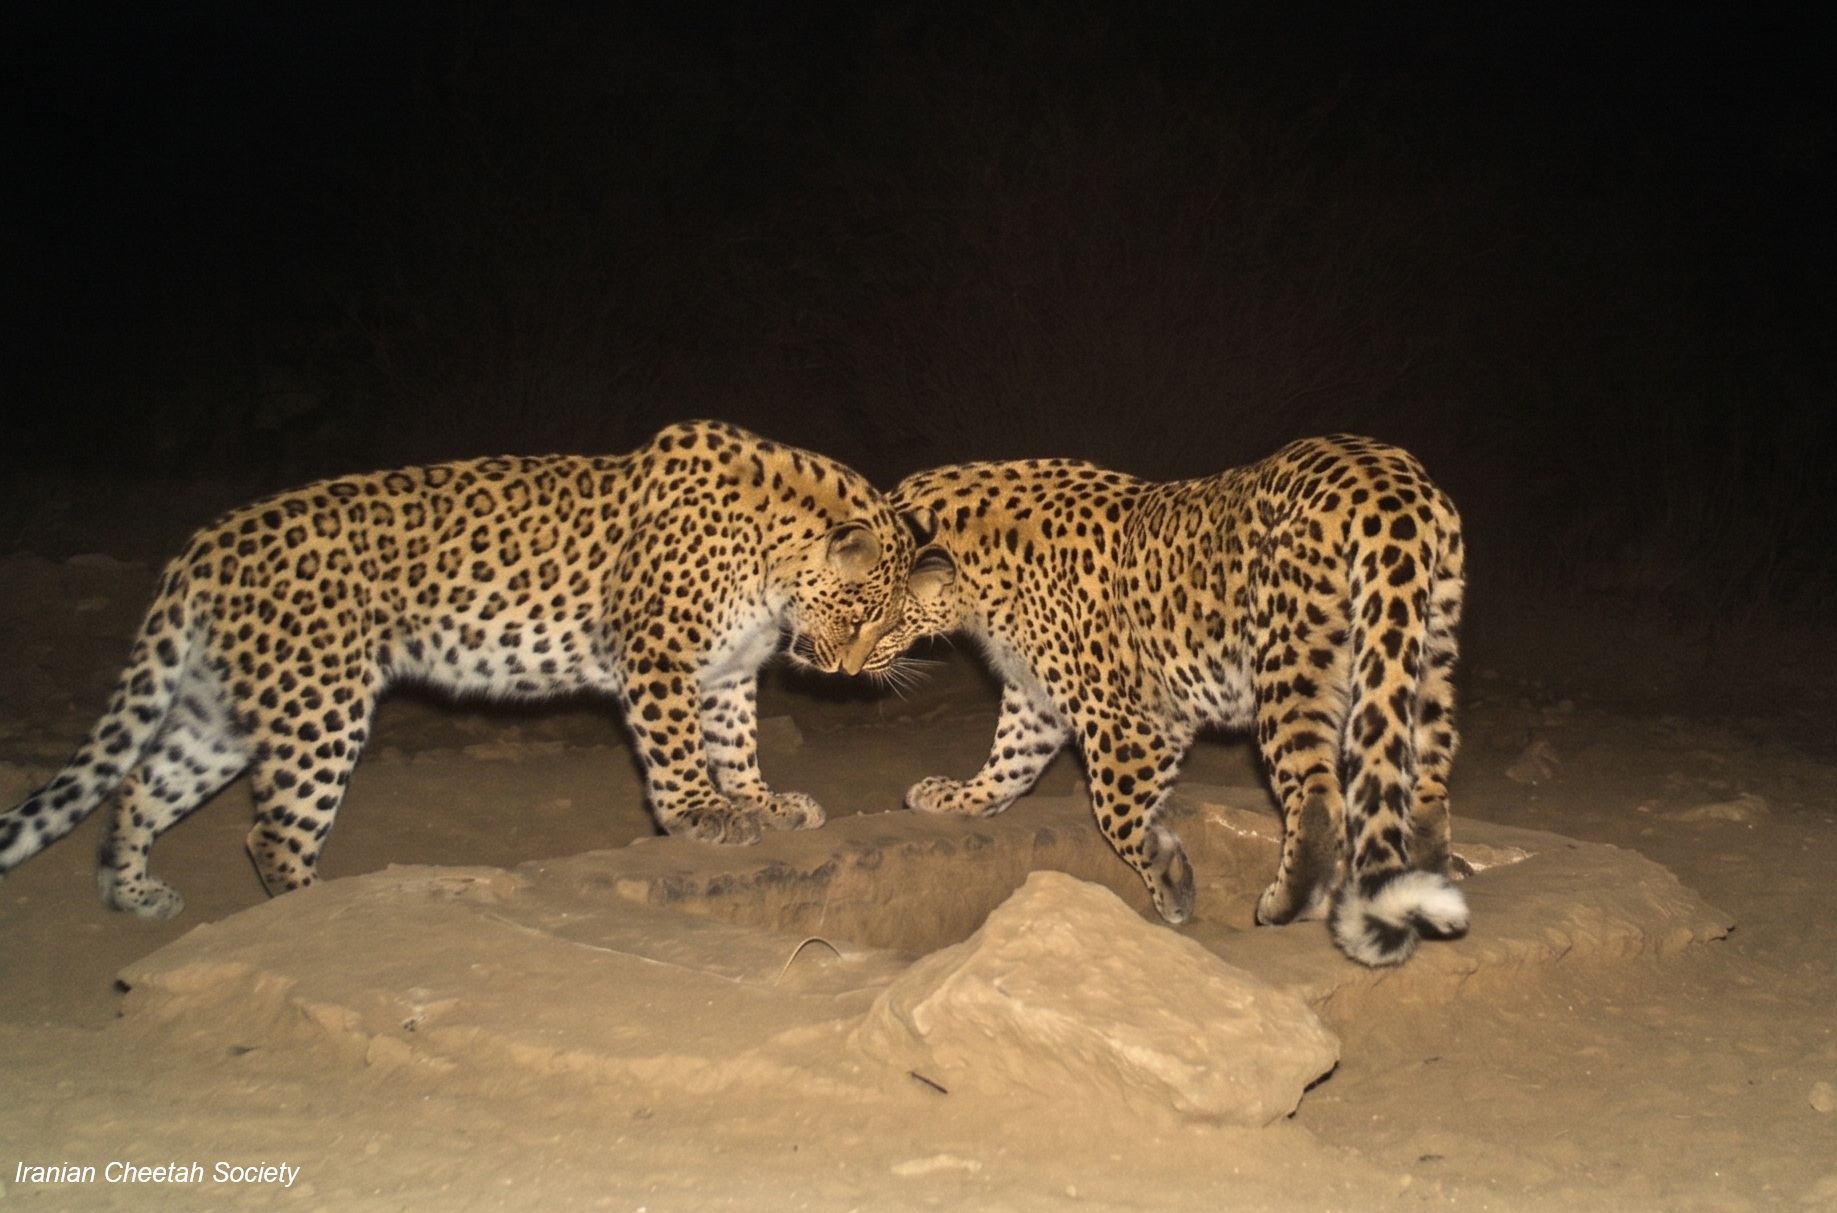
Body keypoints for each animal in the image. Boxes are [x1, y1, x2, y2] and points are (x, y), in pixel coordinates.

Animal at [0, 420, 929, 920]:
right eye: (862, 617)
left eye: (887, 627)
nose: (847, 667)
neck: (773, 555)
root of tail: (204, 541)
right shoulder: (657, 653)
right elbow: (677, 750)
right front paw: (701, 816)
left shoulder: (728, 673)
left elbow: (736, 746)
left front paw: (760, 803)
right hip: (320, 702)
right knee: (270, 829)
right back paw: (316, 905)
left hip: (221, 712)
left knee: (138, 785)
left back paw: (133, 895)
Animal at [874, 434, 1470, 966]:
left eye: (872, 617)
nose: (854, 664)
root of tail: (1380, 476)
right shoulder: (1033, 697)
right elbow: (1008, 763)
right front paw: (955, 797)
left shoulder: (1128, 721)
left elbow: (1116, 812)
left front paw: (1172, 882)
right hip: (1425, 646)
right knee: (1425, 784)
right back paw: (1432, 883)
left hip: (1290, 657)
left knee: (1318, 793)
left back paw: (1283, 907)